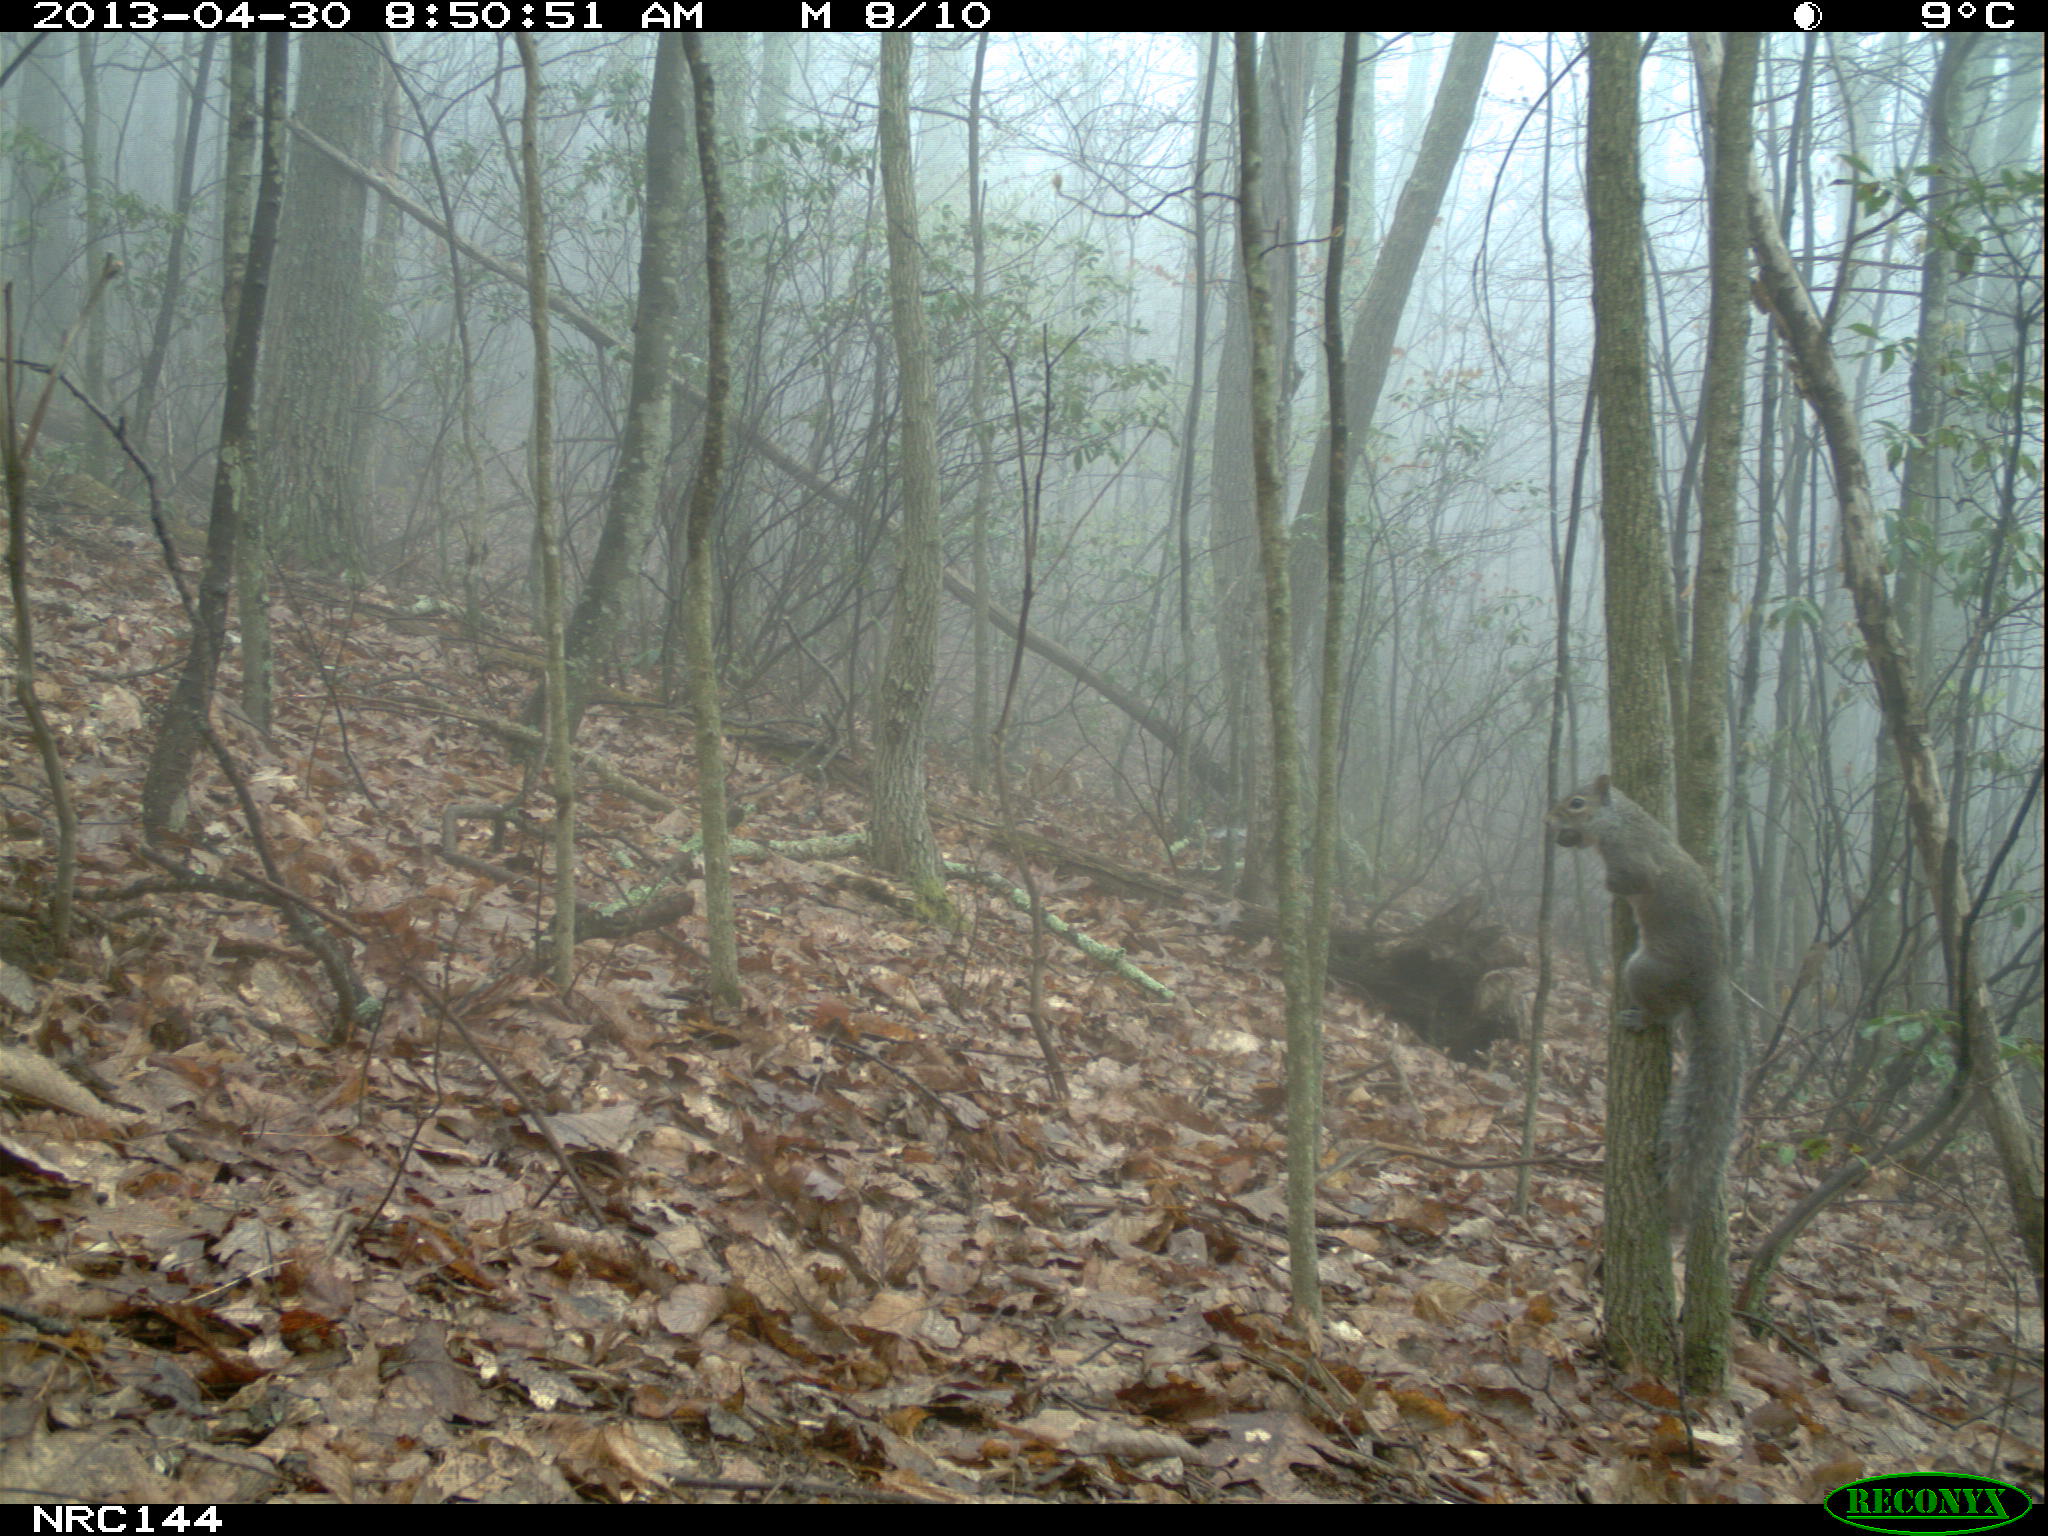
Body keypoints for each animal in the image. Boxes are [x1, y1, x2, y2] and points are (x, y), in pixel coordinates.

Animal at [1548, 774, 1744, 1236]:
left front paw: (1609, 890)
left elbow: (1630, 882)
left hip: (1645, 971)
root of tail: (1712, 981)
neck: (1622, 821)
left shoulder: (1632, 859)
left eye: (1576, 803)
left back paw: (1640, 1017)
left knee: (1664, 1014)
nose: (1549, 820)